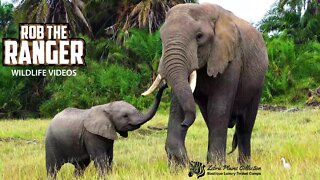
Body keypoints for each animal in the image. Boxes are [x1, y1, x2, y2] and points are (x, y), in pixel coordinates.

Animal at [142, 2, 268, 166]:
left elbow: (218, 108)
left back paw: (244, 166)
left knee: (244, 127)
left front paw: (216, 166)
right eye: (161, 39)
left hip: (258, 84)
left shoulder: (230, 58)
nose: (184, 124)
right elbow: (178, 106)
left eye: (199, 36)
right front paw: (179, 165)